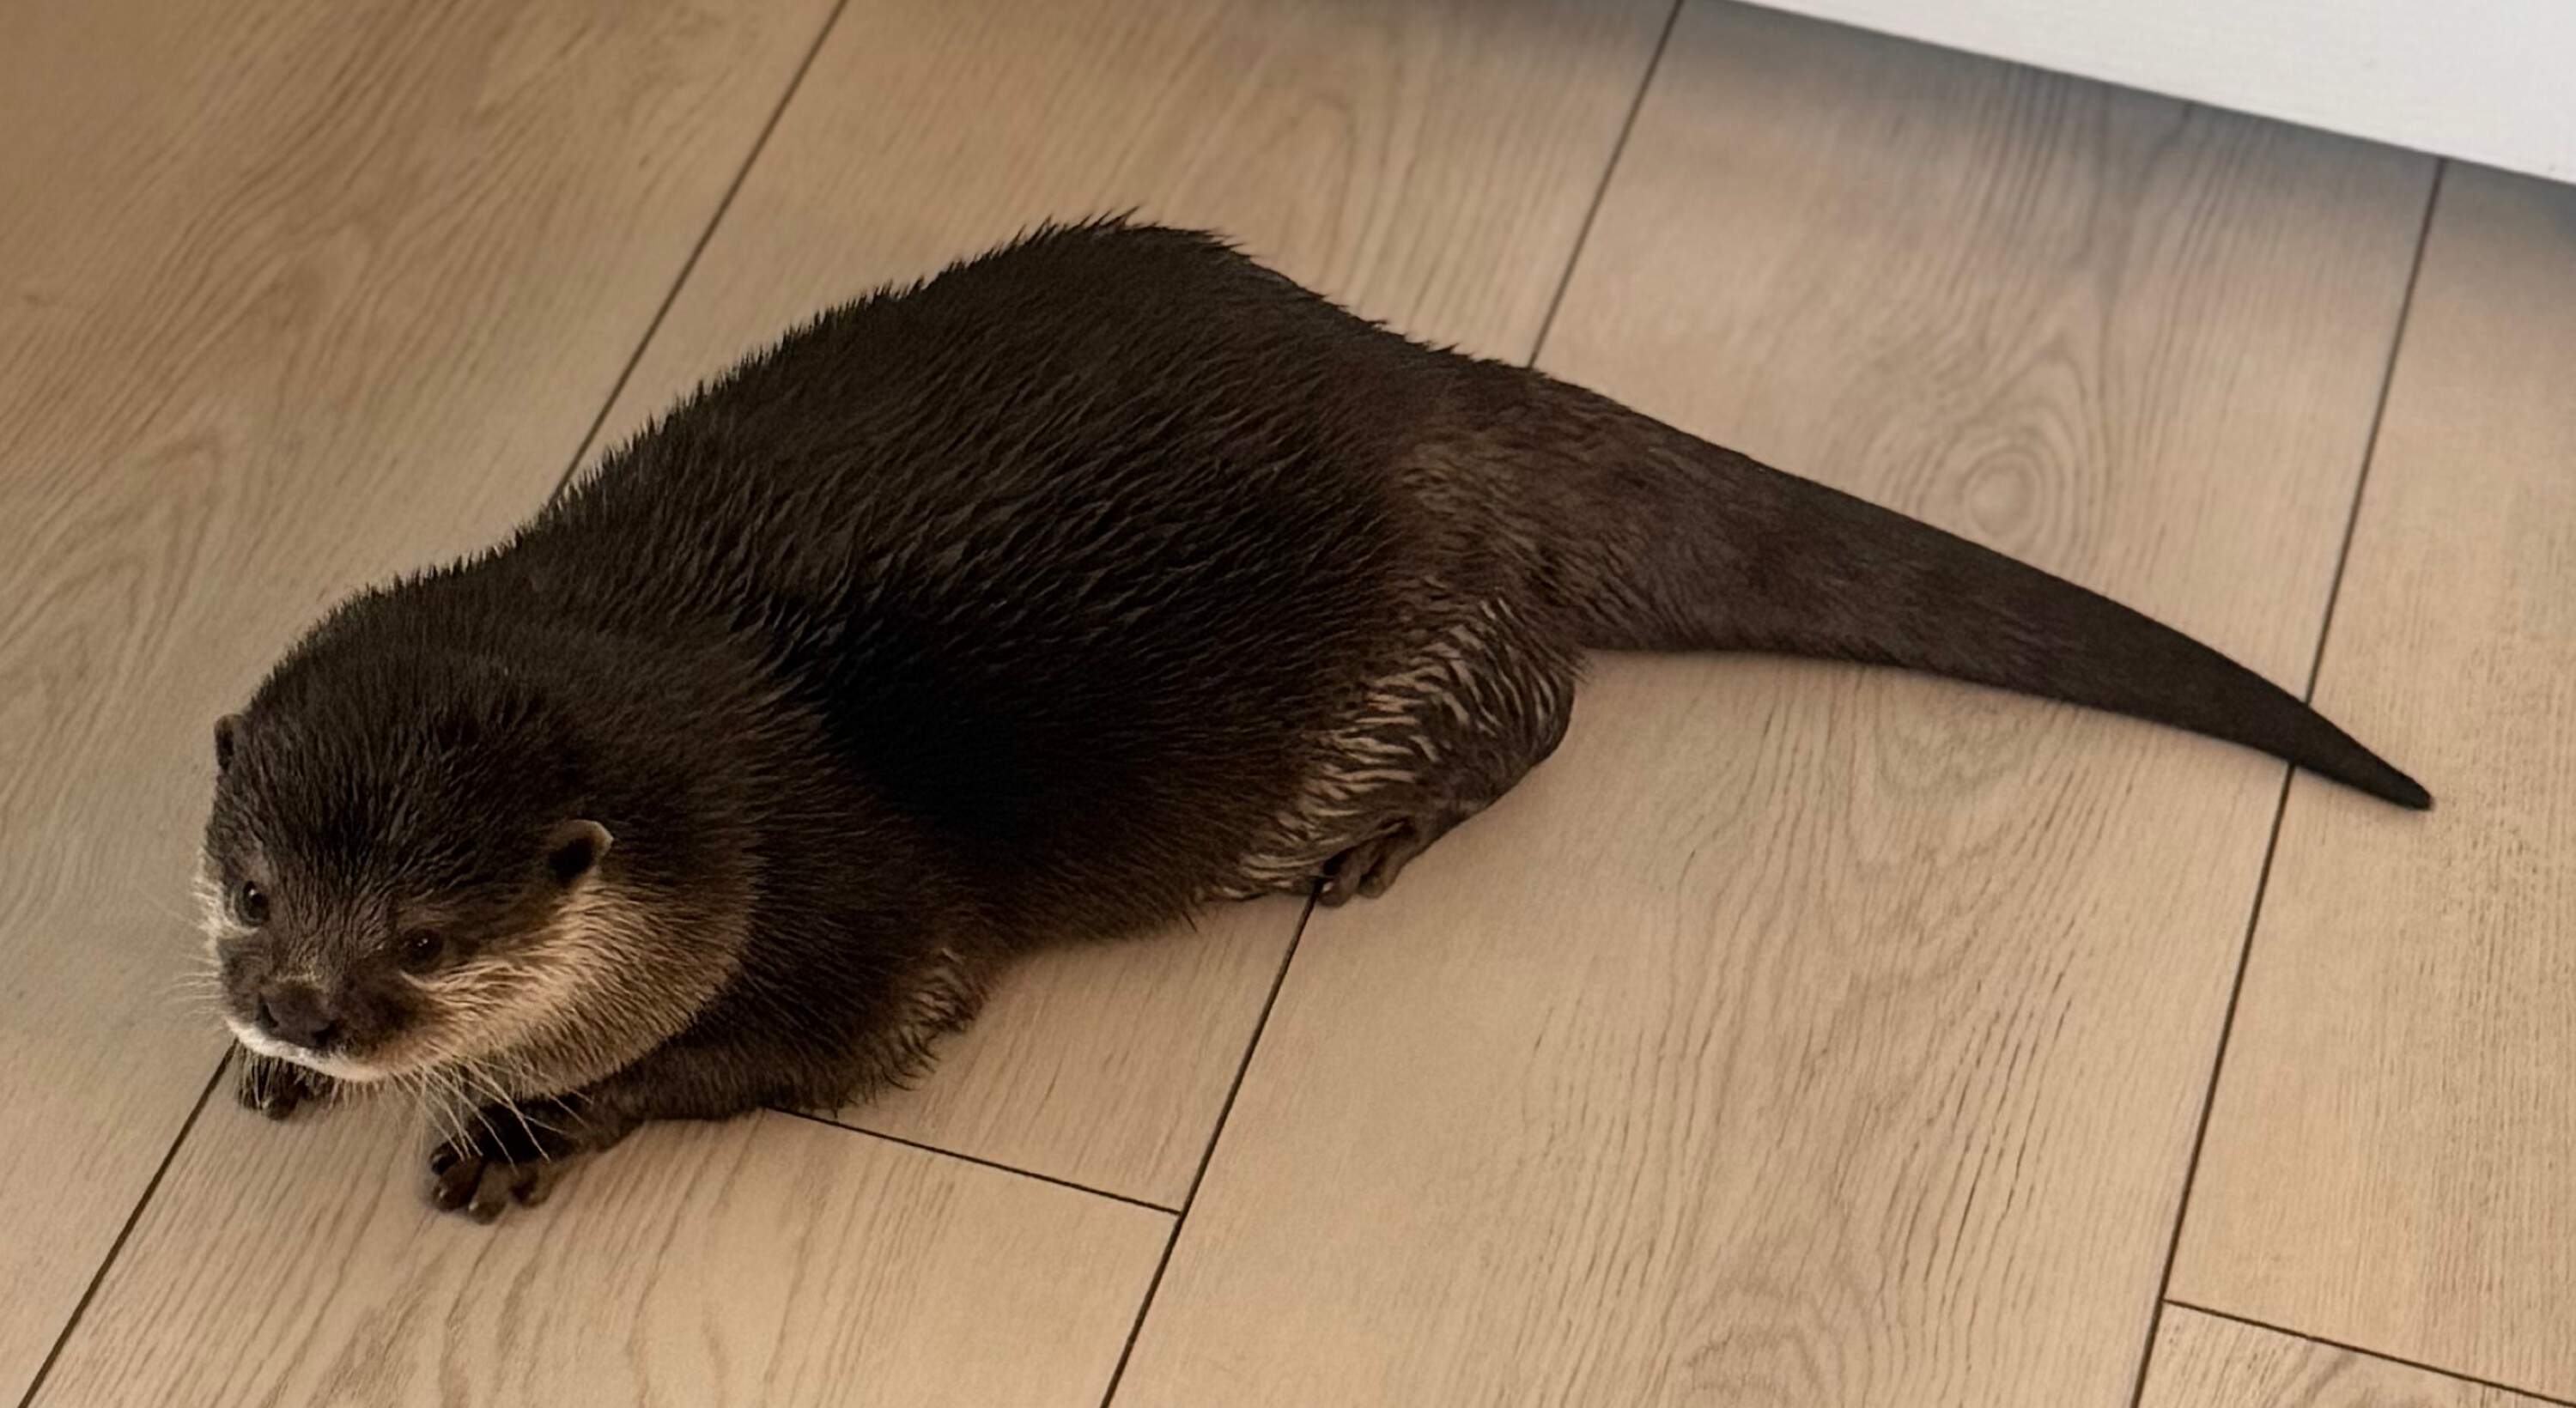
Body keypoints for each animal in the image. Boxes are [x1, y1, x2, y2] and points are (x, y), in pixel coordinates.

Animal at [196, 218, 2426, 1220]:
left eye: (429, 941)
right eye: (255, 890)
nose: (304, 1007)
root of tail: (1430, 393)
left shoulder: (849, 912)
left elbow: (803, 1046)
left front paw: (522, 1127)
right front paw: (267, 1076)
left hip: (1379, 670)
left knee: (1540, 698)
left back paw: (1376, 845)